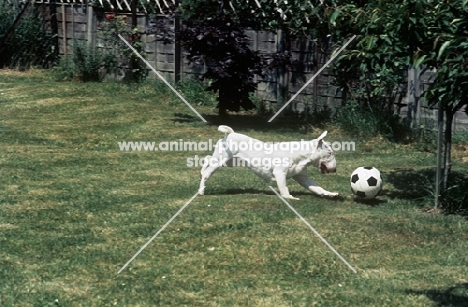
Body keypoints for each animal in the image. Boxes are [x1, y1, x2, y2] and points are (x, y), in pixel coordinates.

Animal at [197, 125, 336, 200]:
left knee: (208, 158)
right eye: (329, 153)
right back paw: (201, 189)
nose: (335, 170)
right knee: (207, 173)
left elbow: (317, 188)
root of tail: (229, 134)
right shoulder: (280, 174)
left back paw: (202, 171)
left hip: (229, 162)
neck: (301, 154)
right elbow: (284, 188)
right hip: (221, 160)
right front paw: (289, 198)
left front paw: (330, 194)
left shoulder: (302, 178)